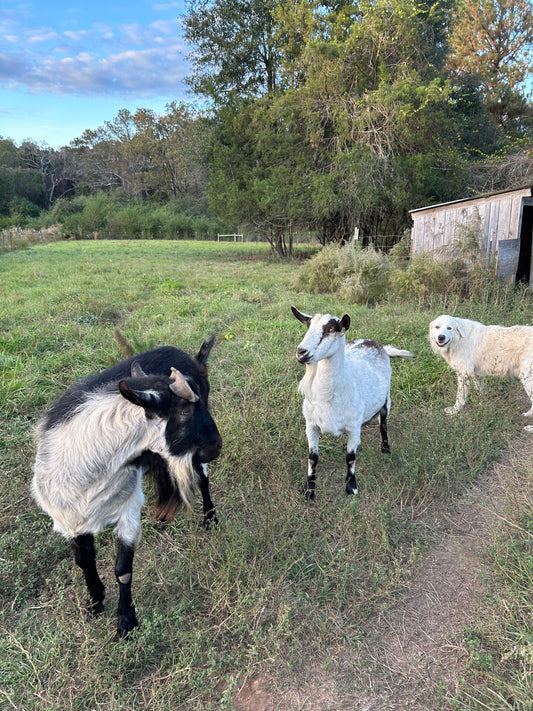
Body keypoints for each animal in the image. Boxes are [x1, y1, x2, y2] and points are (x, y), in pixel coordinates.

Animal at [31, 340, 222, 640]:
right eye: (185, 412)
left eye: (199, 403)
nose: (217, 445)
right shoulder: (69, 519)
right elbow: (84, 561)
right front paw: (95, 603)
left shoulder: (128, 510)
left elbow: (123, 569)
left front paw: (126, 622)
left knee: (202, 480)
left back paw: (210, 519)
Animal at [290, 306, 412, 500]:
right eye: (308, 325)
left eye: (331, 329)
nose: (301, 352)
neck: (328, 398)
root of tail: (377, 344)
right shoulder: (311, 425)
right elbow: (312, 458)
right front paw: (309, 490)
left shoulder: (354, 427)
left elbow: (350, 457)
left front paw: (351, 486)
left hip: (386, 399)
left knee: (383, 423)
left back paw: (385, 449)